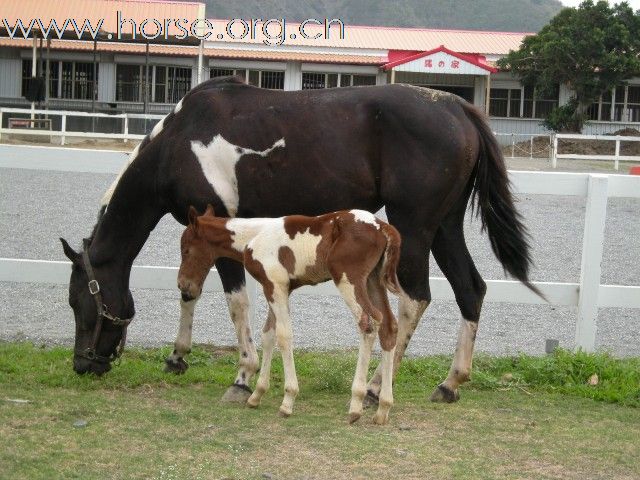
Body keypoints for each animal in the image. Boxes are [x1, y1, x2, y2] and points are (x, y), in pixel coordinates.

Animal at [178, 206, 402, 424]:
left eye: (186, 250)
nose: (183, 284)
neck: (253, 236)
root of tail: (382, 227)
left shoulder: (275, 286)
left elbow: (283, 336)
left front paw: (287, 401)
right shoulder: (276, 288)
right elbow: (268, 334)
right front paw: (257, 395)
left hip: (348, 279)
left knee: (368, 323)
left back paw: (356, 405)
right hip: (373, 280)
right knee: (389, 325)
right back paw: (383, 409)